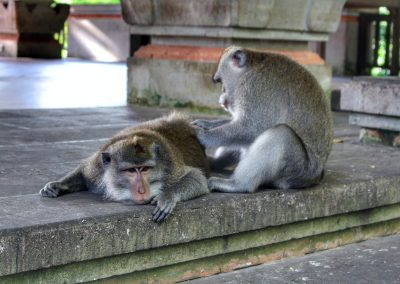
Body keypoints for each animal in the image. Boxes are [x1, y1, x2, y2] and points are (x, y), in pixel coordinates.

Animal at [39, 112, 211, 223]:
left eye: (145, 169)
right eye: (131, 170)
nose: (142, 190)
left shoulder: (170, 168)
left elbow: (197, 178)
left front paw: (166, 196)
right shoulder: (97, 167)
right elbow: (84, 171)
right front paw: (58, 185)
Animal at [192, 46, 332, 193]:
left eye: (220, 81)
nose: (221, 99)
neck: (249, 69)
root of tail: (316, 177)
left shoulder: (253, 88)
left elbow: (251, 129)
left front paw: (202, 134)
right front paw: (206, 124)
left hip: (297, 170)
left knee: (281, 134)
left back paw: (239, 184)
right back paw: (215, 162)